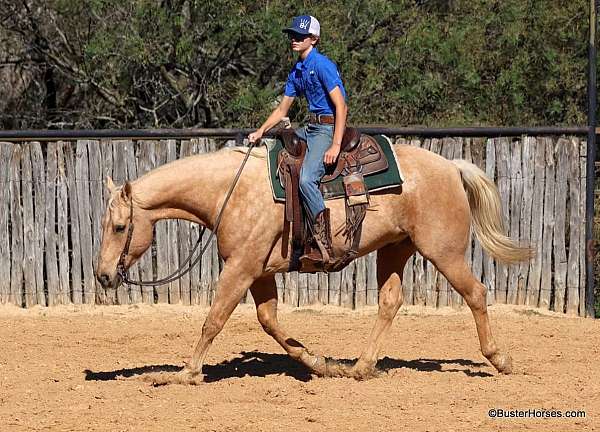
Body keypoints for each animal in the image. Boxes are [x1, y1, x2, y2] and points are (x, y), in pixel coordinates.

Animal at [96, 143, 532, 384]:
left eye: (119, 226)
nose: (102, 275)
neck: (228, 191)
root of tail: (452, 167)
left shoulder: (240, 268)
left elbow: (214, 320)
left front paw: (186, 372)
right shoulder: (258, 272)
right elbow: (269, 321)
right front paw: (320, 363)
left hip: (444, 251)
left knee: (476, 292)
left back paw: (501, 359)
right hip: (395, 249)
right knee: (390, 302)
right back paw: (359, 367)